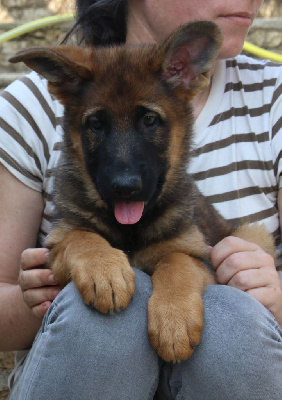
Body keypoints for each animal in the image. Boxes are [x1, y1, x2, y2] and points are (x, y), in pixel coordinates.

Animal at [10, 21, 274, 362]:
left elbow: (176, 261)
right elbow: (80, 238)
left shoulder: (198, 256)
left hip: (250, 234)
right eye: (96, 124)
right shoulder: (54, 250)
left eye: (149, 120)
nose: (125, 188)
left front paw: (174, 321)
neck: (131, 230)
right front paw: (104, 271)